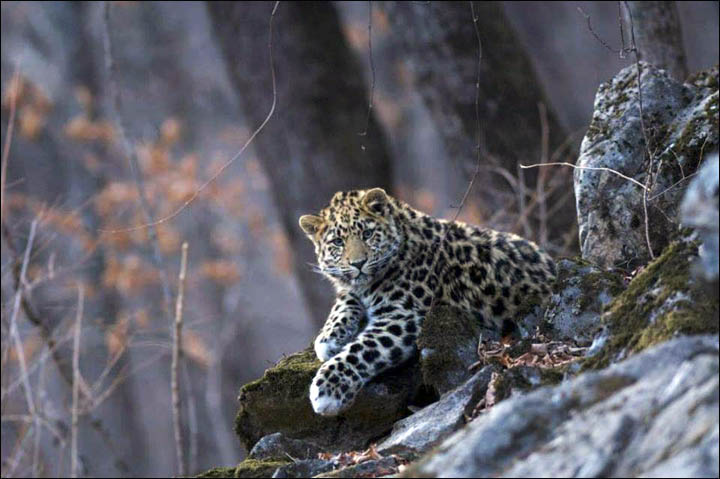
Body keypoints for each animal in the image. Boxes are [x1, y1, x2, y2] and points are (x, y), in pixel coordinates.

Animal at [298, 188, 556, 416]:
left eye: (367, 234)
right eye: (338, 242)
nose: (358, 263)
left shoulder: (404, 316)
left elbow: (360, 350)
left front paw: (327, 388)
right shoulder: (354, 291)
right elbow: (343, 301)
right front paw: (329, 338)